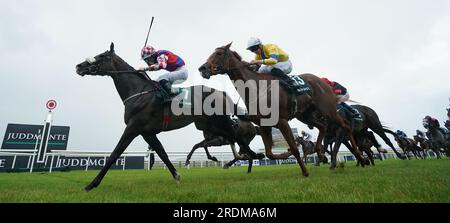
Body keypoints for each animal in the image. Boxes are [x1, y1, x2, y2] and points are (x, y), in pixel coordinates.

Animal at [76, 43, 262, 192]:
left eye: (102, 56)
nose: (79, 66)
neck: (139, 92)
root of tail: (221, 92)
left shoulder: (133, 128)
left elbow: (115, 154)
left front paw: (91, 184)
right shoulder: (147, 132)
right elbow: (162, 153)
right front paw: (177, 177)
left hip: (220, 120)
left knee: (237, 136)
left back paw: (253, 155)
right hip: (210, 125)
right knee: (231, 138)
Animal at [199, 42, 368, 177]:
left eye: (219, 53)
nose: (202, 68)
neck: (257, 88)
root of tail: (322, 81)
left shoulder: (282, 122)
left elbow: (294, 147)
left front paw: (305, 171)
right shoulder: (264, 125)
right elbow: (269, 153)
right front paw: (283, 154)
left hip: (328, 109)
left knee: (345, 126)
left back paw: (360, 157)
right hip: (305, 115)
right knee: (323, 126)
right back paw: (321, 153)